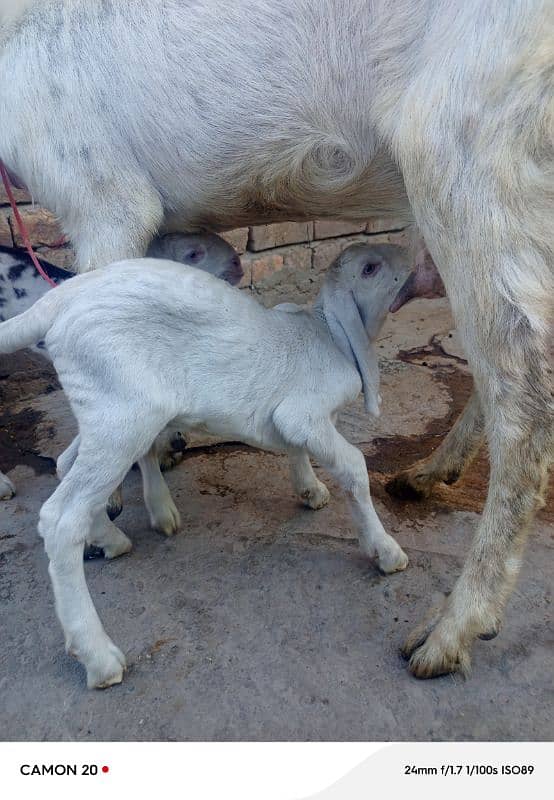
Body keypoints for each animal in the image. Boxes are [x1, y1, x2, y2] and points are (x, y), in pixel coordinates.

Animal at [1, 0, 552, 680]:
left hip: (466, 144)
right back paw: (426, 476)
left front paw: (131, 503)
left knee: (523, 396)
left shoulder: (98, 194)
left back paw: (450, 630)